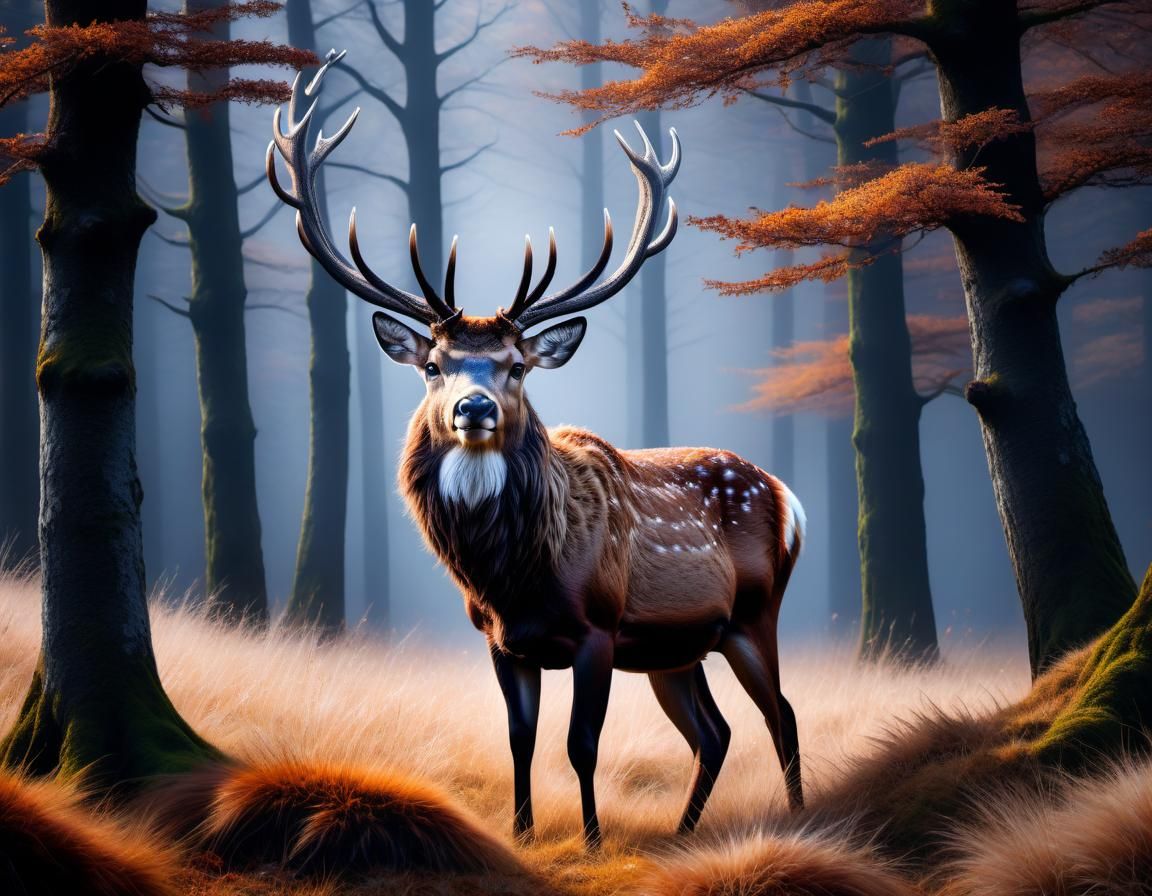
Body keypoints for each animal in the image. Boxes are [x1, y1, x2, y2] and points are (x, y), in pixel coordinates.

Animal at [268, 52, 805, 848]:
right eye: (435, 364)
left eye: (517, 365)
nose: (475, 407)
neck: (514, 576)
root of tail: (785, 494)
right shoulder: (500, 641)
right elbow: (520, 741)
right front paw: (521, 836)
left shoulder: (598, 629)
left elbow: (581, 744)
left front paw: (591, 840)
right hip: (675, 648)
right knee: (715, 733)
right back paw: (683, 833)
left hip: (753, 613)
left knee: (783, 716)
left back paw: (803, 819)